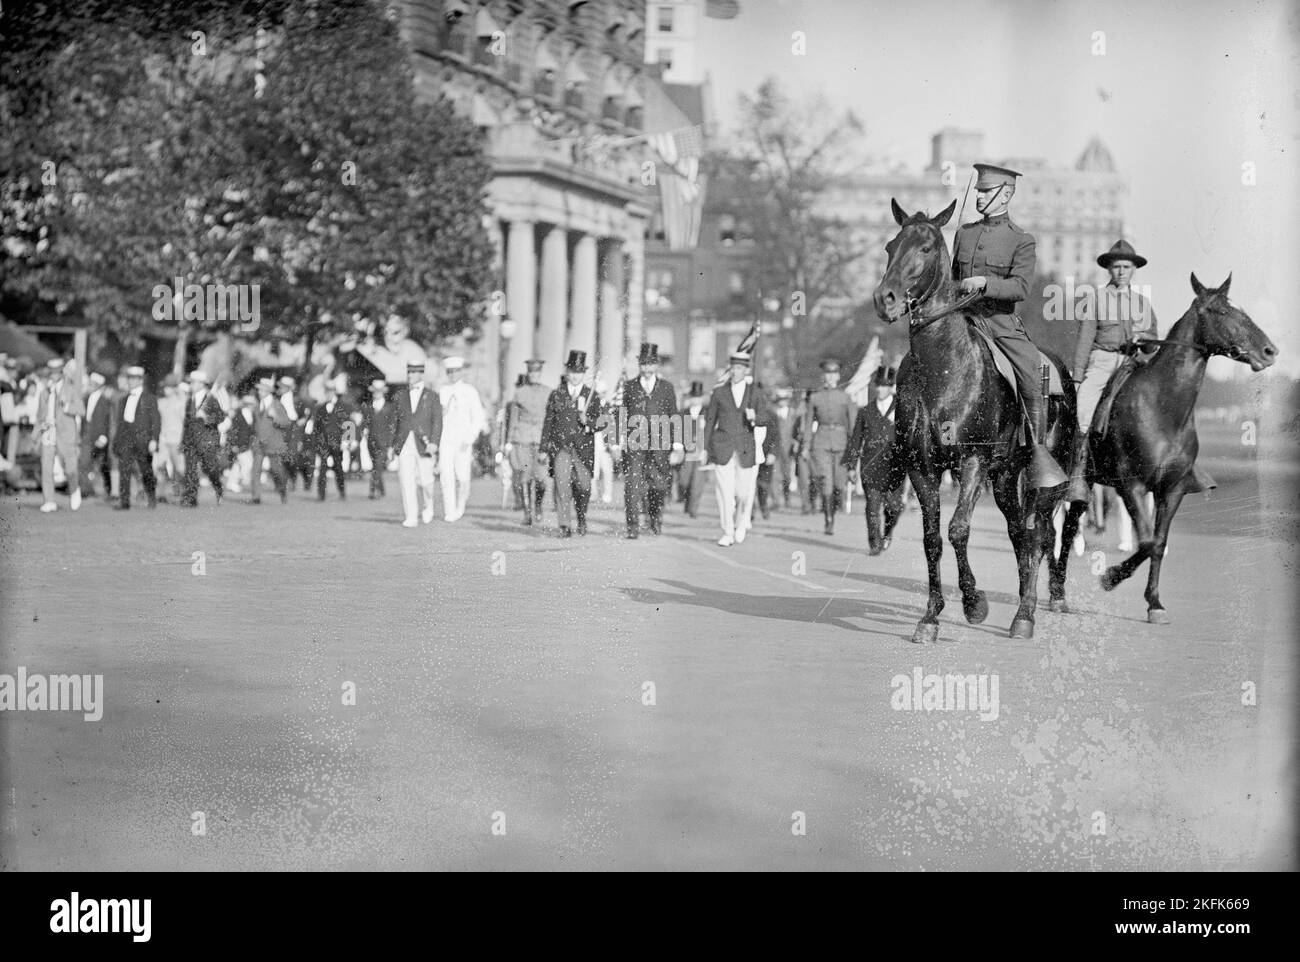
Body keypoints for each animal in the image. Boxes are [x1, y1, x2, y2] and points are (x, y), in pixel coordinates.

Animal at [873, 198, 1076, 642]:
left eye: (927, 247)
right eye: (890, 246)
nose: (885, 298)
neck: (945, 371)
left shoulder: (972, 462)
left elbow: (958, 530)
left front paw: (973, 603)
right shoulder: (922, 467)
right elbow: (932, 537)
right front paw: (930, 617)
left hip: (1039, 477)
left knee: (1038, 533)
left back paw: (1026, 613)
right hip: (1004, 477)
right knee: (1019, 531)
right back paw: (1022, 602)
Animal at [1050, 274, 1274, 624]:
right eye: (1222, 311)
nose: (1269, 351)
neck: (1162, 406)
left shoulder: (1172, 490)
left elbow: (1157, 543)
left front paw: (1154, 602)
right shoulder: (1132, 486)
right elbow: (1144, 542)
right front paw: (1110, 577)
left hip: (1085, 484)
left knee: (1071, 525)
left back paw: (1058, 589)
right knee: (1059, 526)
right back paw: (1054, 591)